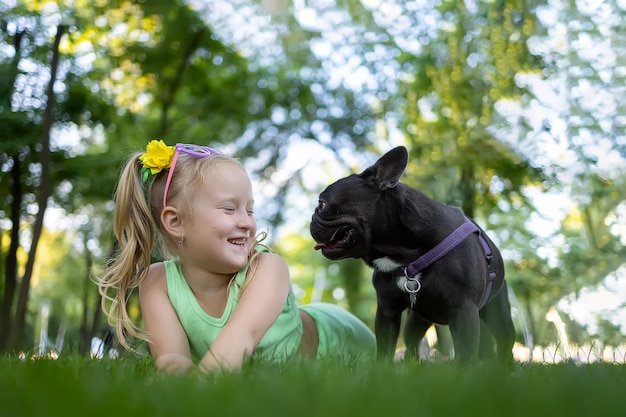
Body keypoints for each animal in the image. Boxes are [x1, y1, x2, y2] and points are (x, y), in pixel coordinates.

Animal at [310, 146, 516, 364]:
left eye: (322, 204)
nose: (312, 218)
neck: (403, 256)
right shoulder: (387, 311)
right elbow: (385, 349)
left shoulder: (464, 312)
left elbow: (465, 354)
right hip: (417, 319)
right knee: (411, 342)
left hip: (498, 315)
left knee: (505, 341)